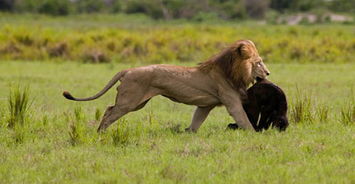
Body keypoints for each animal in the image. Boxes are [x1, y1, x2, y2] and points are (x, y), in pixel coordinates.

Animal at [63, 40, 270, 132]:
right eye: (259, 62)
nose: (268, 73)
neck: (231, 71)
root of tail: (128, 70)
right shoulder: (232, 102)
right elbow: (244, 120)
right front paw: (255, 134)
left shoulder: (205, 105)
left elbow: (197, 120)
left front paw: (188, 133)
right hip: (130, 101)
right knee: (110, 112)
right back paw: (101, 133)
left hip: (137, 102)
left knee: (108, 109)